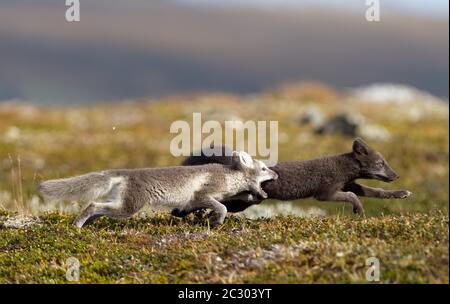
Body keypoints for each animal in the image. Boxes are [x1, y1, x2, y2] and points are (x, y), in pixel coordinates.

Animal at [39, 151, 278, 228]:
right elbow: (222, 207)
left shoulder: (194, 201)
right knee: (92, 204)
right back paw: (78, 225)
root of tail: (126, 173)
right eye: (264, 168)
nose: (276, 175)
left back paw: (89, 224)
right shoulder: (202, 193)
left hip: (120, 203)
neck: (230, 177)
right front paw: (217, 220)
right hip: (129, 207)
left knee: (97, 207)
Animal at [178, 139, 412, 215]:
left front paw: (402, 193)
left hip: (244, 203)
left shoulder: (349, 184)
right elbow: (353, 197)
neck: (341, 168)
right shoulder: (325, 193)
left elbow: (375, 191)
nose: (396, 175)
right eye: (380, 164)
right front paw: (359, 210)